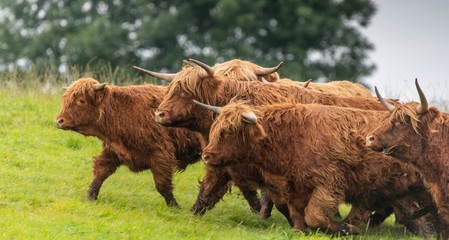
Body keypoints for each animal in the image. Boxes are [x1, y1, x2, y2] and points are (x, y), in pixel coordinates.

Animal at [54, 78, 203, 207]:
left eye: (81, 100)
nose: (59, 121)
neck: (120, 112)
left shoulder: (161, 155)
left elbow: (163, 185)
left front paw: (175, 207)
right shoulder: (113, 151)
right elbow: (100, 173)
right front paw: (90, 197)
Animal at [199, 100, 430, 235]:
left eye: (228, 132)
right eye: (215, 128)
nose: (206, 155)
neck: (291, 136)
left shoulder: (329, 184)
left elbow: (314, 216)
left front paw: (346, 229)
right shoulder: (293, 187)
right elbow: (297, 216)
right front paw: (303, 231)